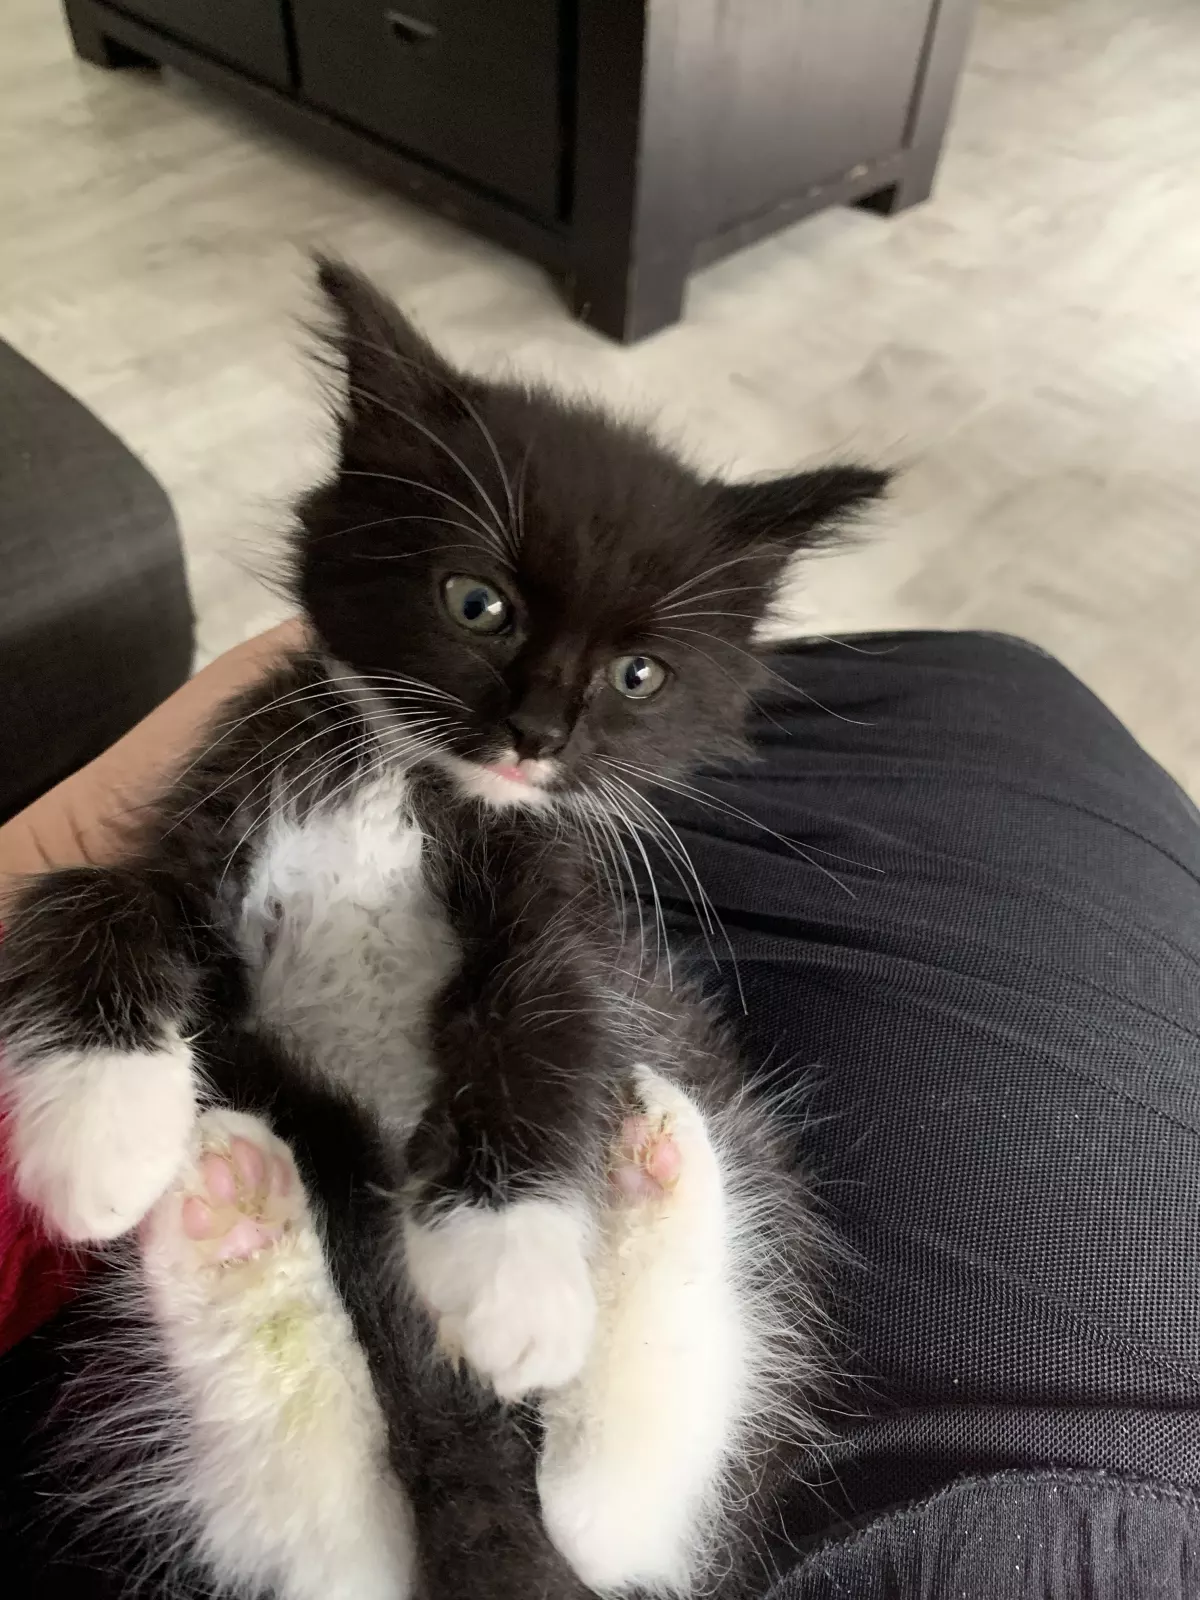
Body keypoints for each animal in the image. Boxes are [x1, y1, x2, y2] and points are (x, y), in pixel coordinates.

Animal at [0, 260, 887, 1600]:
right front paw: (100, 1133)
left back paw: (652, 1173)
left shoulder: (562, 896)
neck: (403, 780)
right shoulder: (207, 816)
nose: (537, 734)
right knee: (344, 1545)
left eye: (638, 676)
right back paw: (230, 1214)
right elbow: (97, 895)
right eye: (478, 603)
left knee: (614, 1521)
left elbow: (538, 1012)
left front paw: (513, 1270)